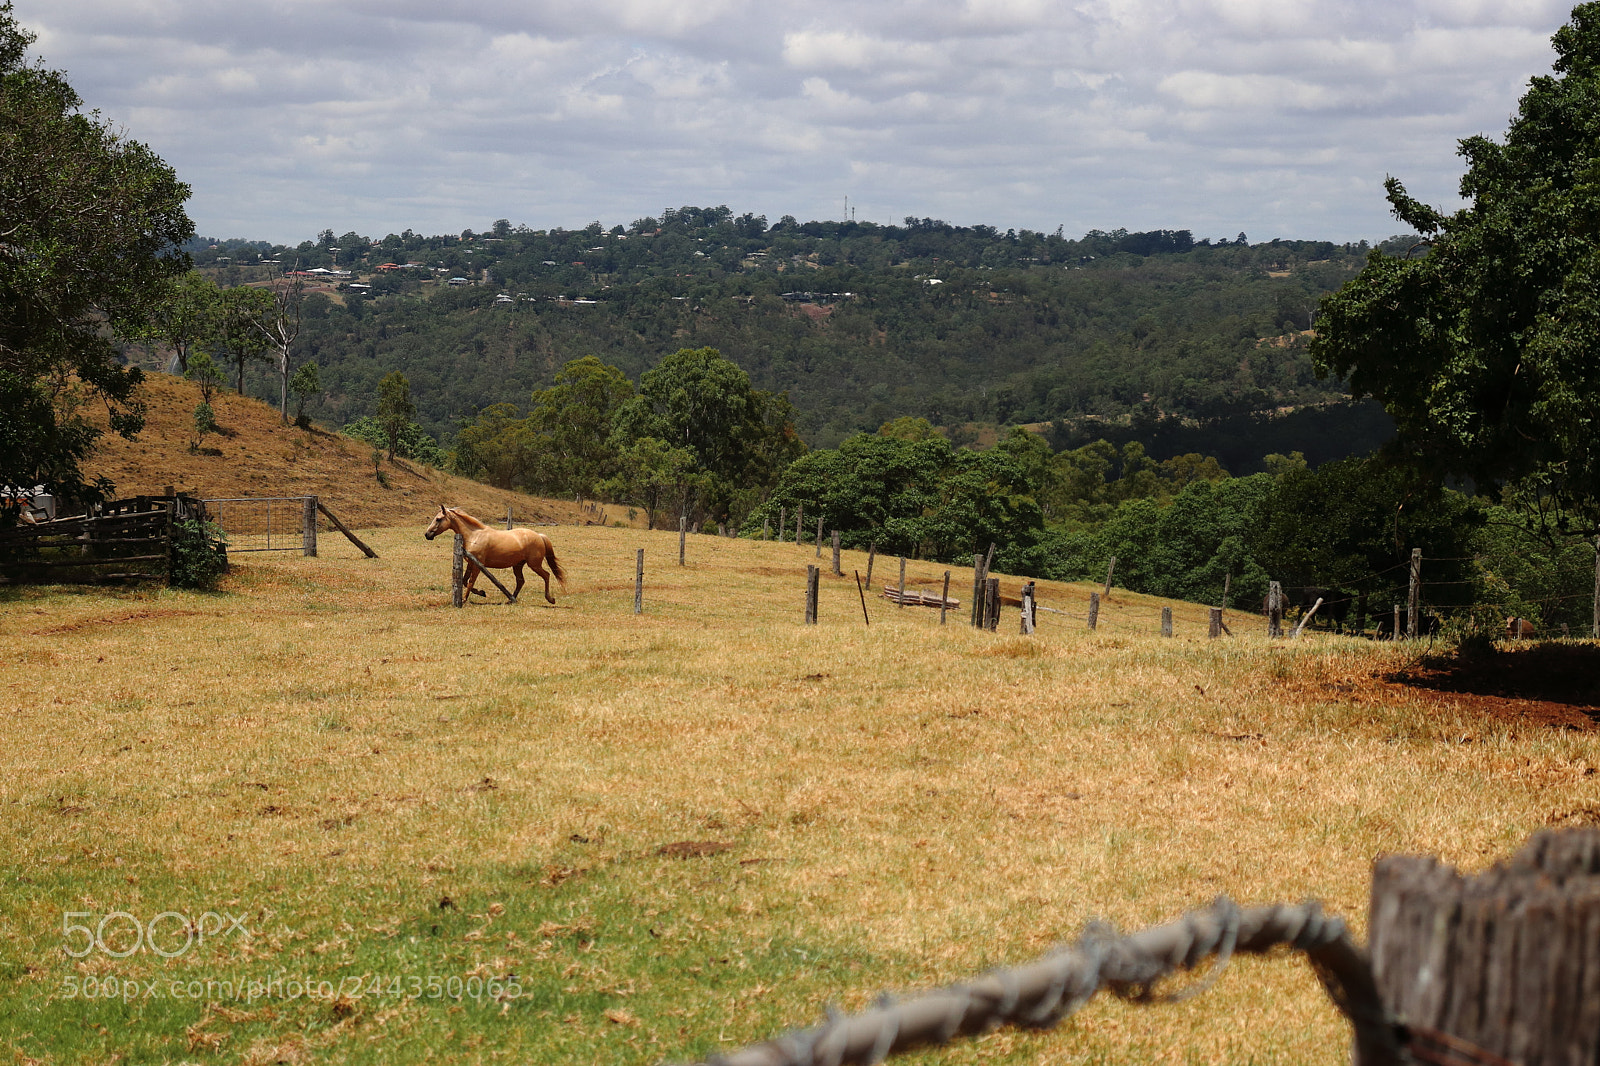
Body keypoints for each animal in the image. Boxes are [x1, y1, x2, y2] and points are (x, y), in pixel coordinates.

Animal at [423, 505, 566, 605]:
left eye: (438, 519)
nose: (427, 534)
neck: (474, 535)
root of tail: (539, 536)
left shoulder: (477, 566)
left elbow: (470, 582)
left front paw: (464, 599)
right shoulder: (471, 563)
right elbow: (464, 581)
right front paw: (481, 593)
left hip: (534, 565)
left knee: (546, 575)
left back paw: (550, 599)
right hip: (518, 565)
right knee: (521, 581)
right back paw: (511, 599)